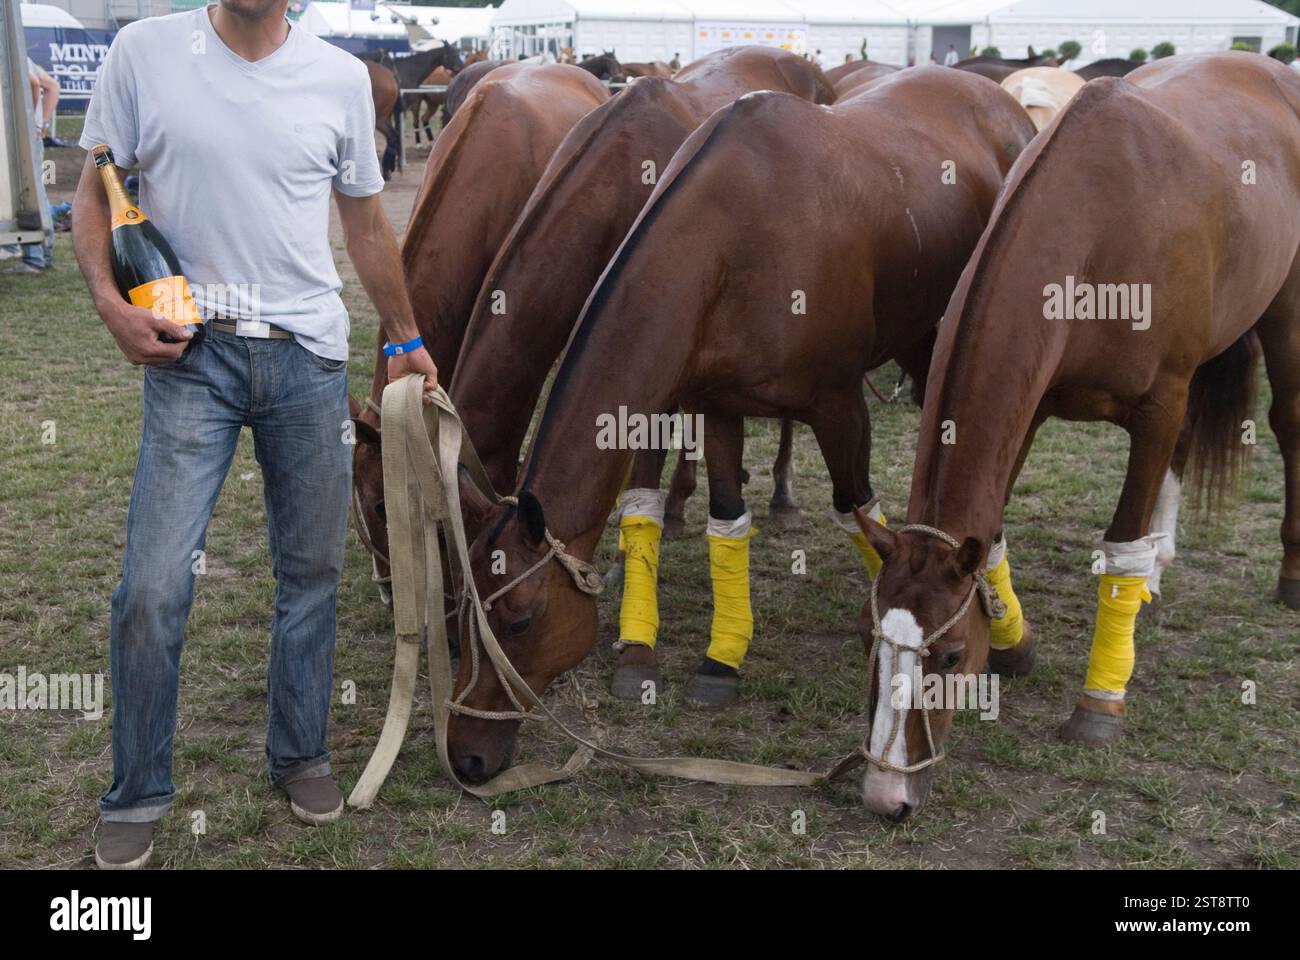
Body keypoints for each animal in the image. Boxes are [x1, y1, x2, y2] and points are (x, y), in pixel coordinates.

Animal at [442, 67, 1035, 783]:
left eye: (521, 622)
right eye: (462, 615)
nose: (465, 756)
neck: (735, 237)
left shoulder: (838, 404)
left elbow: (859, 509)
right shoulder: (716, 401)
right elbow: (727, 519)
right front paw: (721, 656)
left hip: (941, 331)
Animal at [855, 52, 1300, 821]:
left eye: (949, 657)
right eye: (872, 646)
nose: (887, 795)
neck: (1099, 227)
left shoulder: (1159, 403)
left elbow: (1120, 547)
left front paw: (1100, 702)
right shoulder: (1033, 402)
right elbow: (994, 537)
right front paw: (1015, 643)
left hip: (1285, 309)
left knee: (1289, 422)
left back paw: (1288, 573)